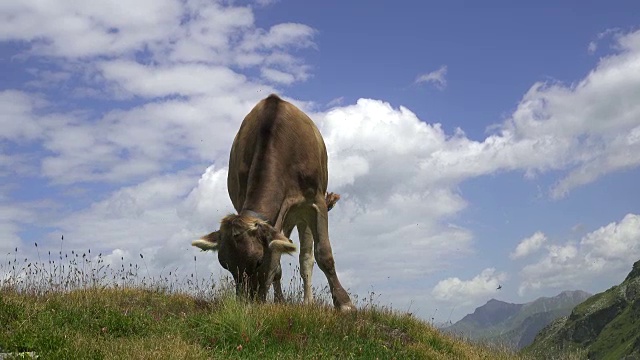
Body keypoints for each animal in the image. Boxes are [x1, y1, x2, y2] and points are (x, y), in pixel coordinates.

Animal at [194, 94, 356, 310]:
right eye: (226, 265)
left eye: (257, 261)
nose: (246, 304)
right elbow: (276, 260)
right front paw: (278, 301)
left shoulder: (316, 202)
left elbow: (323, 254)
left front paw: (344, 304)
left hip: (301, 218)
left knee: (306, 258)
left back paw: (308, 301)